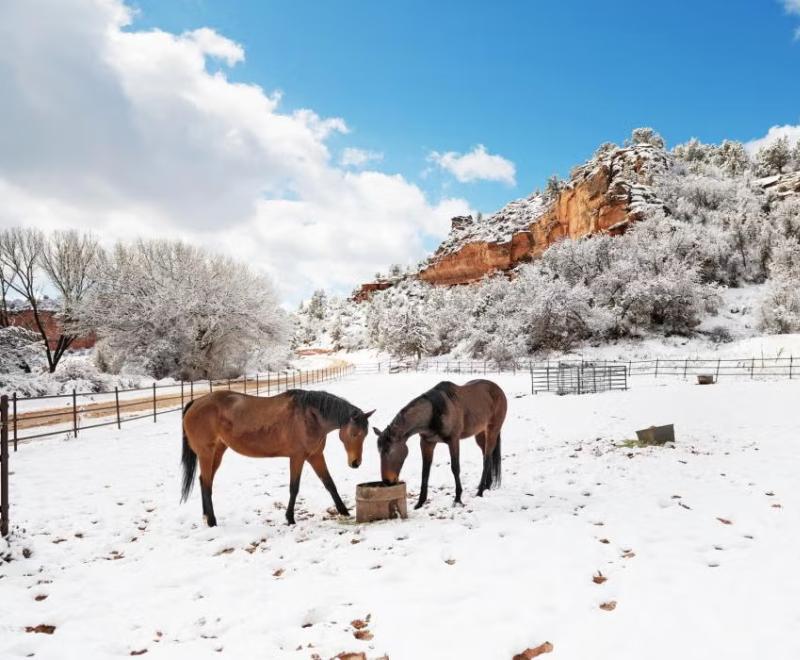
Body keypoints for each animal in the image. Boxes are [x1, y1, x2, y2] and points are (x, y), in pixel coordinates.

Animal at [180, 389, 374, 526]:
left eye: (366, 434)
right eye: (355, 433)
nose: (355, 463)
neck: (309, 417)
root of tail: (195, 402)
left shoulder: (315, 456)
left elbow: (329, 483)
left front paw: (344, 511)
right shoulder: (297, 457)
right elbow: (294, 488)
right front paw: (290, 518)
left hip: (218, 451)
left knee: (204, 481)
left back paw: (206, 516)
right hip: (206, 453)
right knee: (207, 484)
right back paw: (212, 521)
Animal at [373, 379, 507, 509]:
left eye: (390, 451)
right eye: (379, 452)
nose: (388, 481)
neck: (434, 413)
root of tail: (498, 390)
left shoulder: (453, 441)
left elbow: (455, 468)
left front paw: (458, 499)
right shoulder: (427, 443)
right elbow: (425, 471)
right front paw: (420, 503)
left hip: (492, 430)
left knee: (487, 458)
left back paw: (480, 492)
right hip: (480, 434)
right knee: (487, 456)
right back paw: (486, 486)